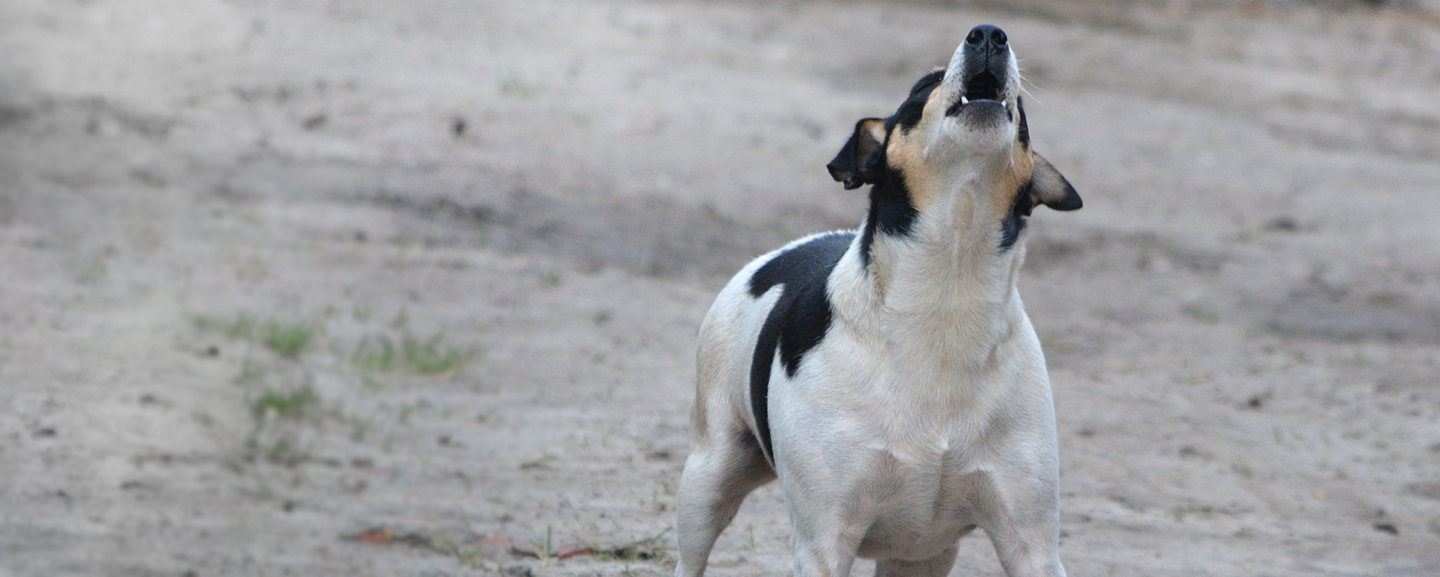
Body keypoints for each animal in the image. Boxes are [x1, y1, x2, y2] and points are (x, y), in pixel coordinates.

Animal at [673, 24, 1082, 575]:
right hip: (709, 475)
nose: (989, 35)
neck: (948, 291)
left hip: (922, 555)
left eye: (1020, 109)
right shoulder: (824, 541)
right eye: (924, 87)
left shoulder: (1031, 542)